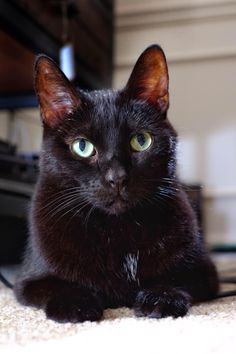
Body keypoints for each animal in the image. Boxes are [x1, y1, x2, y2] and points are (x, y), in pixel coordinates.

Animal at [13, 45, 218, 324]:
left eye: (141, 141)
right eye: (82, 146)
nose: (117, 177)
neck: (116, 229)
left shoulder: (203, 272)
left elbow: (176, 279)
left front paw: (161, 298)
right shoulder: (27, 280)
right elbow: (57, 285)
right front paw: (76, 303)